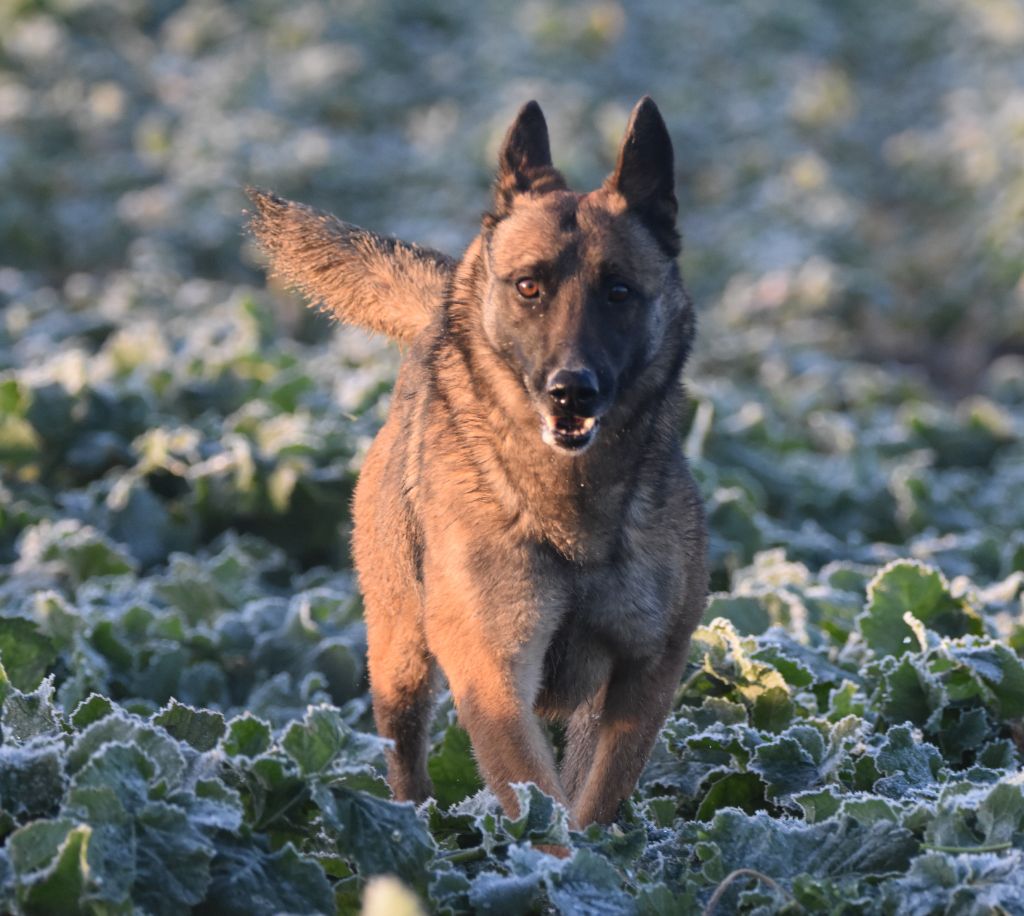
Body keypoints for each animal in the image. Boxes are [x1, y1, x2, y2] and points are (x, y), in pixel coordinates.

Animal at [249, 98, 704, 831]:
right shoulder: (492, 670)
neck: (571, 509)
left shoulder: (644, 673)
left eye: (618, 291)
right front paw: (555, 856)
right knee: (405, 753)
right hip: (401, 654)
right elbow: (538, 798)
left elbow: (593, 799)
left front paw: (599, 853)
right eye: (529, 287)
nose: (571, 390)